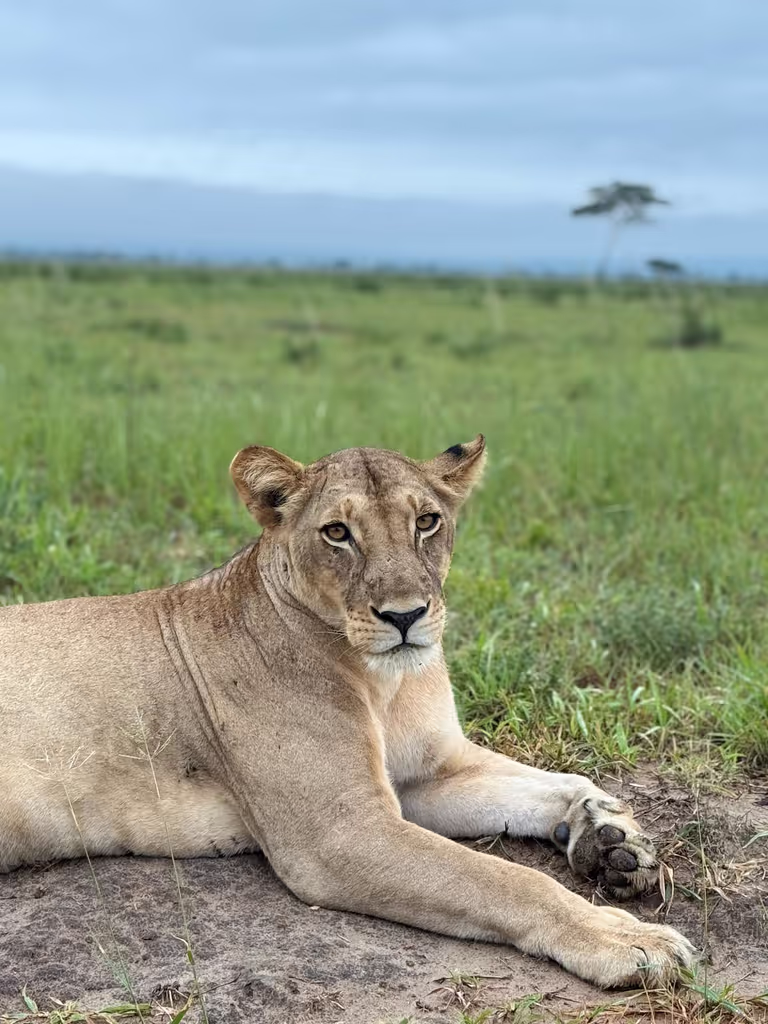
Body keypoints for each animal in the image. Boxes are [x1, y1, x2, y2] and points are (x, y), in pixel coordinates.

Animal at [0, 437, 694, 987]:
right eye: (338, 532)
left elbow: (558, 781)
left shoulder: (424, 778)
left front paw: (612, 839)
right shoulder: (338, 832)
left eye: (427, 521)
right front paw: (626, 938)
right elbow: (504, 879)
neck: (383, 682)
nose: (405, 616)